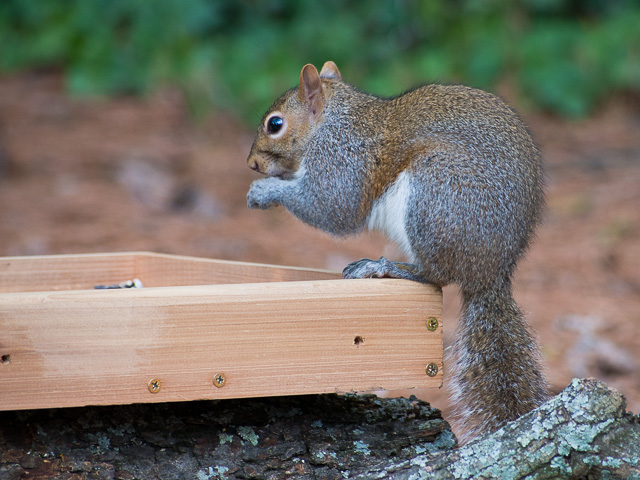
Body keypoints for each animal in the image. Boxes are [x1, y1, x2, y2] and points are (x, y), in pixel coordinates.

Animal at [245, 61, 552, 442]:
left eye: (275, 124)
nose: (252, 163)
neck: (332, 123)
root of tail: (490, 272)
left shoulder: (343, 160)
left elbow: (332, 208)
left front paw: (265, 191)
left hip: (435, 193)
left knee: (437, 275)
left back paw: (384, 266)